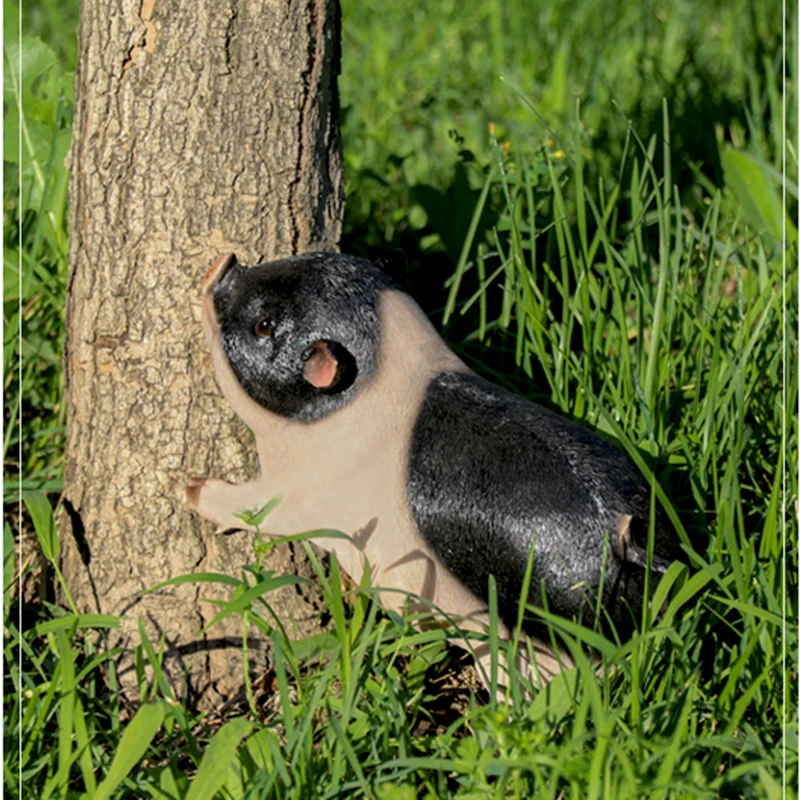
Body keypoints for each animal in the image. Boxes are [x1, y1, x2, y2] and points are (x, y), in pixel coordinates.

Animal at [186, 252, 671, 686]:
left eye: (264, 324)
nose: (224, 264)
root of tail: (623, 538)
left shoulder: (303, 492)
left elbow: (257, 508)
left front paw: (193, 489)